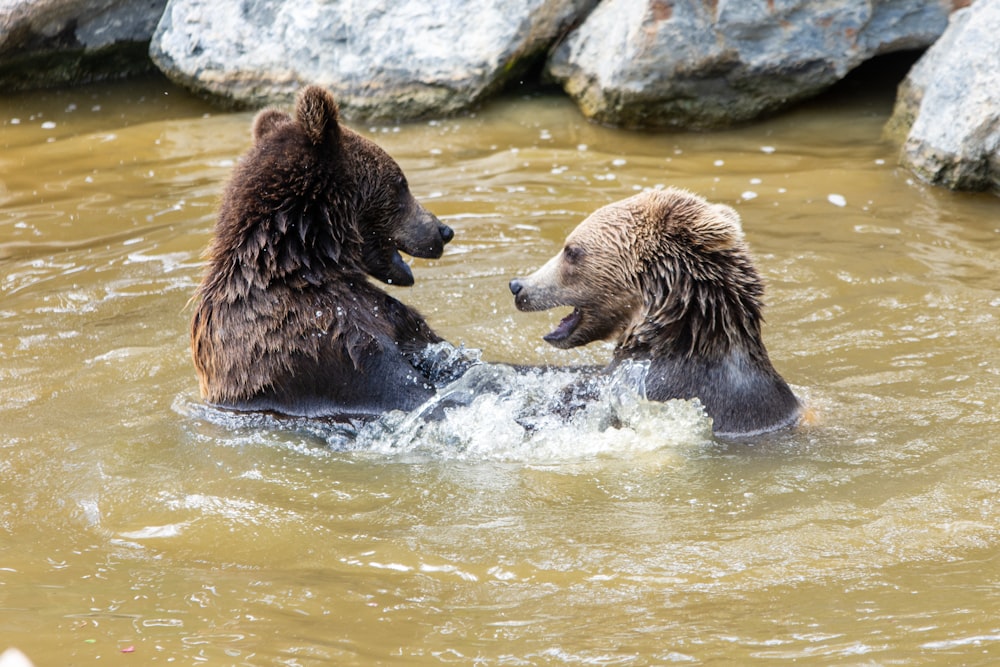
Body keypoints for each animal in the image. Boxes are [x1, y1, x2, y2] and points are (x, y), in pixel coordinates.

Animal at [188, 83, 454, 418]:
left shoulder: (390, 320)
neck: (303, 259)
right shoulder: (321, 338)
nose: (443, 231)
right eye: (400, 183)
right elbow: (397, 382)